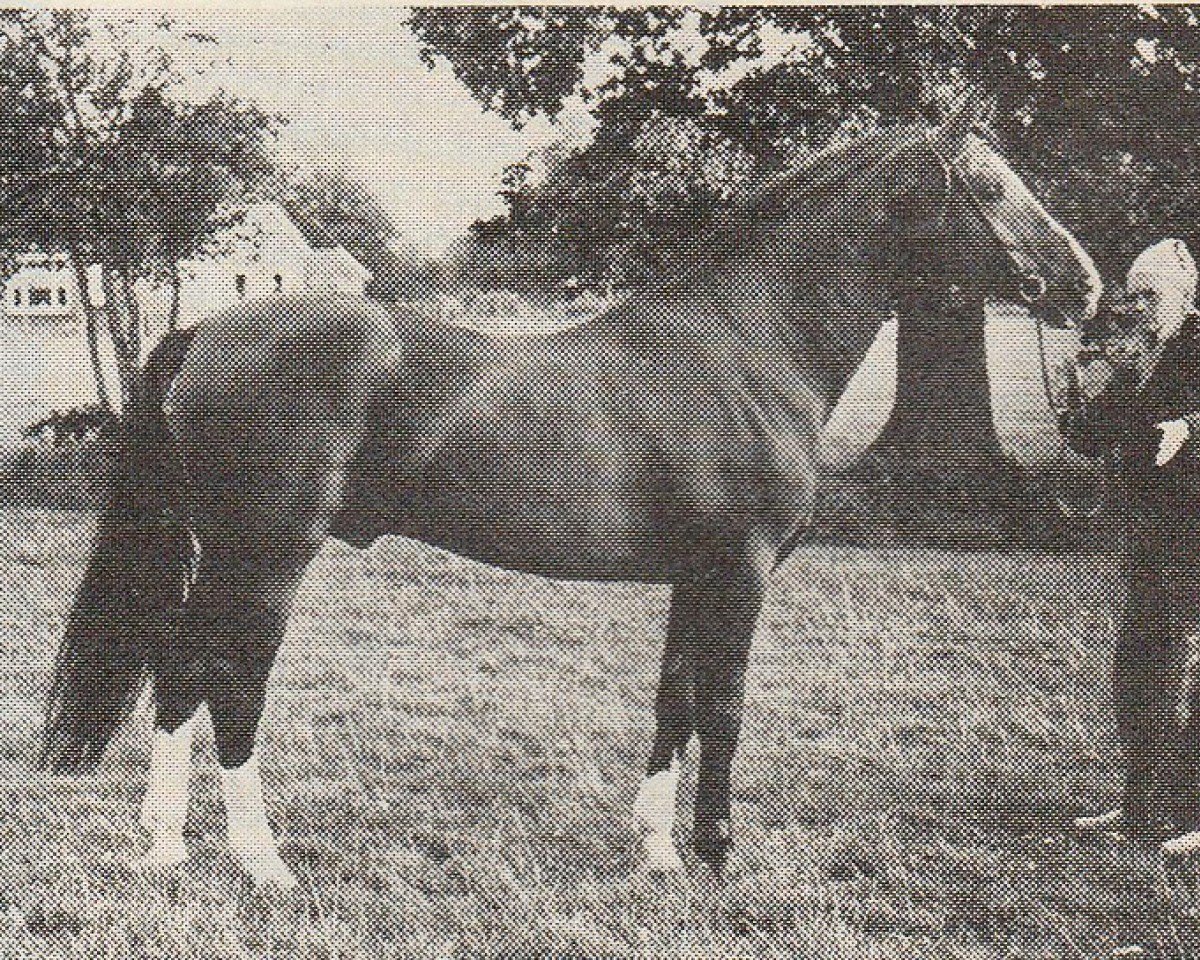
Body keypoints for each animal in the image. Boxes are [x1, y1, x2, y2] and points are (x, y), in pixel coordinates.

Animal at [41, 116, 1100, 890]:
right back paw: (258, 864)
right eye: (990, 186)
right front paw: (717, 856)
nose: (1084, 286)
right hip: (263, 558)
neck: (748, 348)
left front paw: (660, 852)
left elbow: (676, 700)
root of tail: (210, 329)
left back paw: (165, 848)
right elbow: (723, 703)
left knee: (180, 679)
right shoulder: (743, 571)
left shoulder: (695, 576)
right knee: (222, 683)